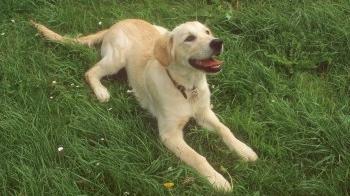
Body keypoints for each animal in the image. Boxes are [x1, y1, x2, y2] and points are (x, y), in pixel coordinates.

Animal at [32, 19, 258, 191]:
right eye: (189, 38)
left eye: (207, 32)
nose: (217, 42)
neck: (187, 87)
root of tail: (118, 22)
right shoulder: (169, 134)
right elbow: (197, 157)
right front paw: (218, 180)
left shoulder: (204, 112)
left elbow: (225, 129)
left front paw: (244, 150)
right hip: (116, 58)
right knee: (90, 72)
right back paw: (101, 91)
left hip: (159, 30)